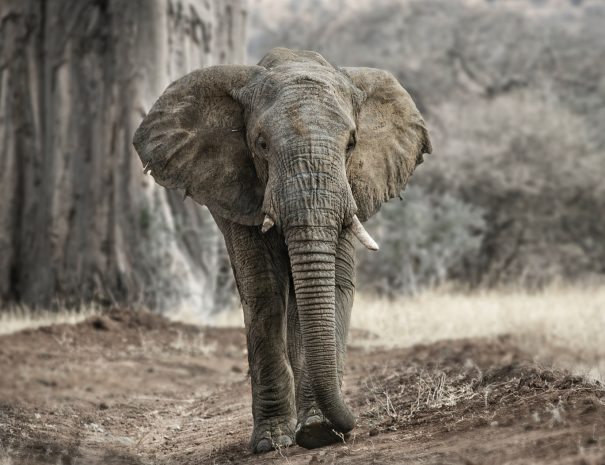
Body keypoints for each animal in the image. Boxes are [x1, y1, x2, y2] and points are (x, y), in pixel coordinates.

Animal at [134, 47, 432, 450]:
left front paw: (319, 431)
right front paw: (273, 442)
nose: (351, 425)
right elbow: (262, 288)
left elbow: (333, 282)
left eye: (352, 144)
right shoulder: (236, 189)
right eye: (261, 144)